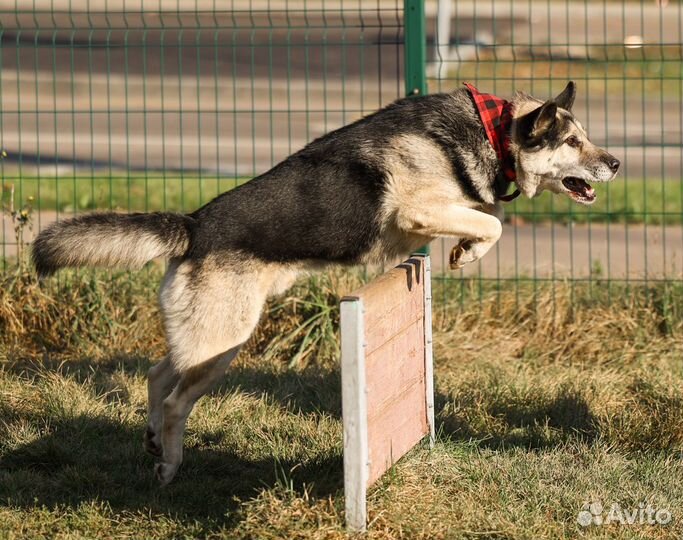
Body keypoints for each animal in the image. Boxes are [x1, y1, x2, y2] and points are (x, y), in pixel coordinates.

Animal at [30, 80, 620, 486]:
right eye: (573, 141)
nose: (616, 163)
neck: (492, 132)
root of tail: (194, 226)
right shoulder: (419, 210)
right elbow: (491, 221)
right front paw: (468, 251)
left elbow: (483, 216)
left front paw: (463, 248)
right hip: (222, 343)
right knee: (175, 400)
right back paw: (169, 465)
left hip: (208, 338)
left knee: (156, 377)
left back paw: (153, 443)